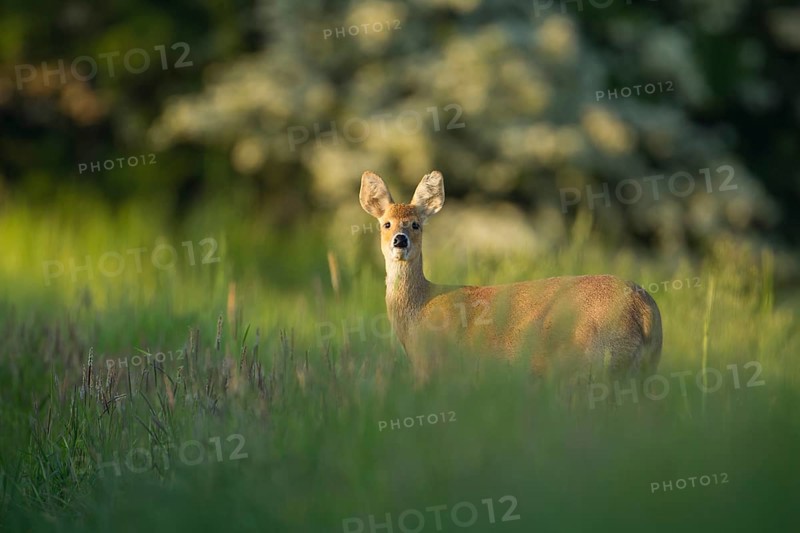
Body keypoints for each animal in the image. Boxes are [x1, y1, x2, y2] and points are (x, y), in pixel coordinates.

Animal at [359, 170, 663, 390]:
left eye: (416, 224)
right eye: (386, 224)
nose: (400, 240)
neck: (420, 307)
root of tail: (645, 309)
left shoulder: (434, 368)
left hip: (598, 361)